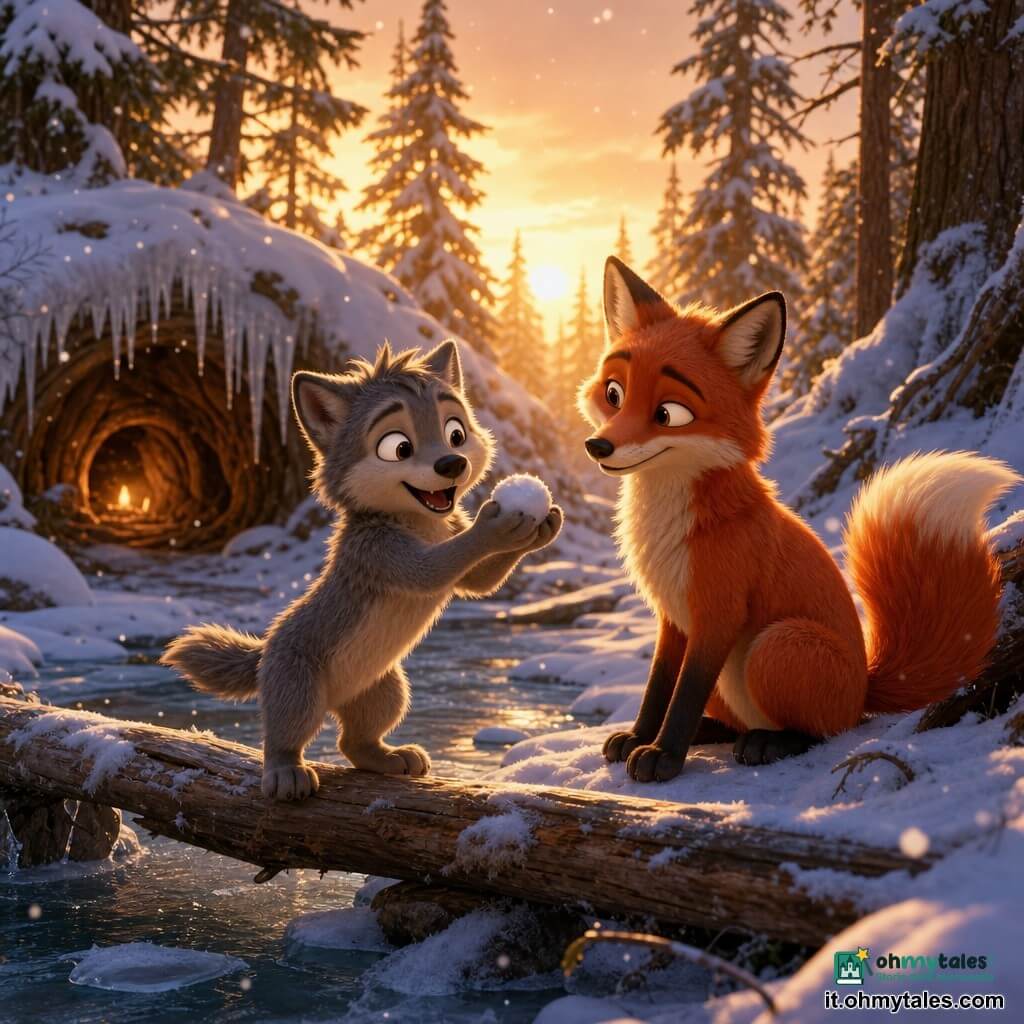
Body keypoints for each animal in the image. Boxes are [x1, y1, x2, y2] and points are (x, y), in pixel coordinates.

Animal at [162, 340, 562, 800]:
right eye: (398, 447)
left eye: (456, 433)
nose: (452, 464)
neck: (420, 522)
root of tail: (263, 652)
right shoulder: (378, 551)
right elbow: (437, 566)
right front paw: (498, 523)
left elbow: (480, 581)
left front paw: (543, 528)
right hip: (298, 688)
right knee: (283, 737)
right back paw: (286, 774)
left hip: (386, 690)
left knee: (352, 742)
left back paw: (393, 758)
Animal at [578, 255, 1020, 783]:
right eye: (614, 393)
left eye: (668, 414)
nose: (598, 446)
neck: (673, 527)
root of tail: (864, 685)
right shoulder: (673, 619)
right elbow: (658, 687)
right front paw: (640, 737)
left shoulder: (718, 612)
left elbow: (684, 694)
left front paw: (664, 756)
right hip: (741, 676)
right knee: (739, 722)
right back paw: (717, 731)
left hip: (775, 646)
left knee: (824, 732)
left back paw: (769, 742)